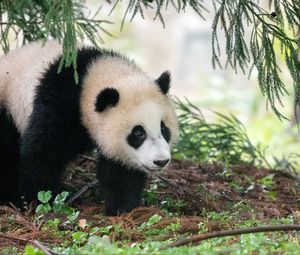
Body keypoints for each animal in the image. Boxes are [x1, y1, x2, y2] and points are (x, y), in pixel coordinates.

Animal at [0, 40, 178, 215]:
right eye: (138, 133)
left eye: (164, 129)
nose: (161, 161)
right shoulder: (59, 101)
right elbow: (43, 151)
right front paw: (40, 200)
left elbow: (120, 170)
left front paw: (122, 207)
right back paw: (12, 197)